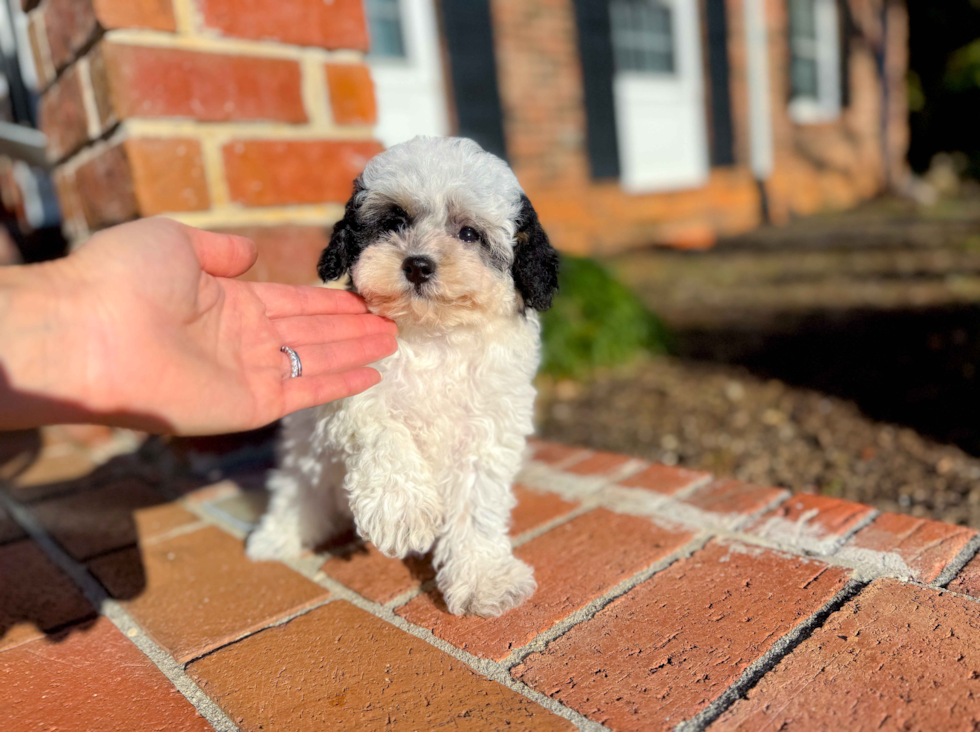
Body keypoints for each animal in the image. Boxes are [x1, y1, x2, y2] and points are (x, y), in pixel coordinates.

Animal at [245, 137, 560, 616]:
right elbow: (383, 431)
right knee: (296, 489)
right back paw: (275, 538)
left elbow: (477, 503)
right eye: (394, 222)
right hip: (305, 458)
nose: (417, 265)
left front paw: (483, 577)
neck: (430, 333)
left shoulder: (487, 425)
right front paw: (402, 510)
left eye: (469, 234)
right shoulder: (353, 387)